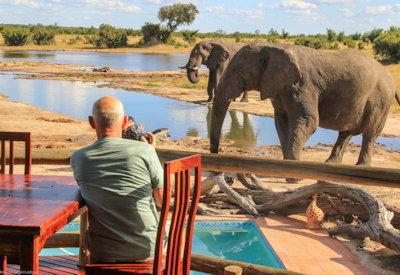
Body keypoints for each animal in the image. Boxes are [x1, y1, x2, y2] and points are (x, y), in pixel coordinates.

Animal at [211, 43, 398, 168]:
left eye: (238, 71)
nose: (217, 152)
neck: (272, 48)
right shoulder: (280, 88)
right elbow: (282, 123)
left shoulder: (303, 86)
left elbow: (308, 121)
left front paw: (292, 177)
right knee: (345, 133)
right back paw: (331, 164)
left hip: (380, 101)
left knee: (369, 133)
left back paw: (361, 166)